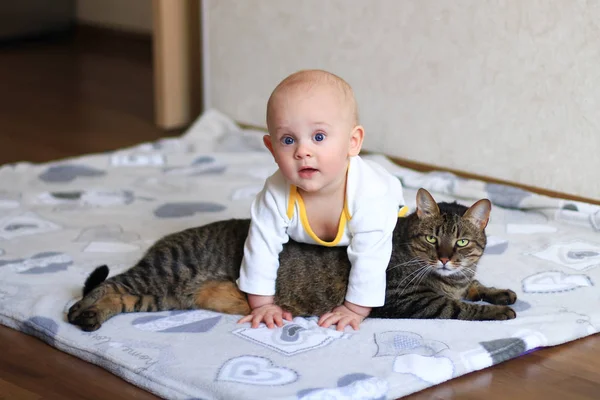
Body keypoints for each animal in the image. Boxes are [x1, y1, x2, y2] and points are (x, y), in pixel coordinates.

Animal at [65, 188, 516, 332]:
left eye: (461, 242)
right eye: (432, 239)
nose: (445, 259)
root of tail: (162, 243)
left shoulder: (460, 278)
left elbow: (476, 286)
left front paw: (500, 292)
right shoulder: (408, 301)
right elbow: (460, 307)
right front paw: (496, 312)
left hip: (158, 297)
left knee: (117, 295)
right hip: (163, 276)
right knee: (103, 286)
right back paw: (83, 314)